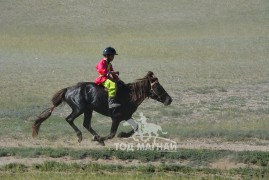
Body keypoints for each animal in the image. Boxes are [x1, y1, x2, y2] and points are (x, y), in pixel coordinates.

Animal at [31, 71, 172, 146]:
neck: (129, 95)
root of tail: (68, 89)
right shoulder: (116, 118)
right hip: (79, 109)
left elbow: (136, 127)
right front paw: (102, 138)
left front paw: (123, 134)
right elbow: (111, 134)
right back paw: (81, 136)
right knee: (69, 119)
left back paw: (95, 137)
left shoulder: (126, 116)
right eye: (158, 87)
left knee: (86, 124)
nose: (169, 100)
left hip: (88, 110)